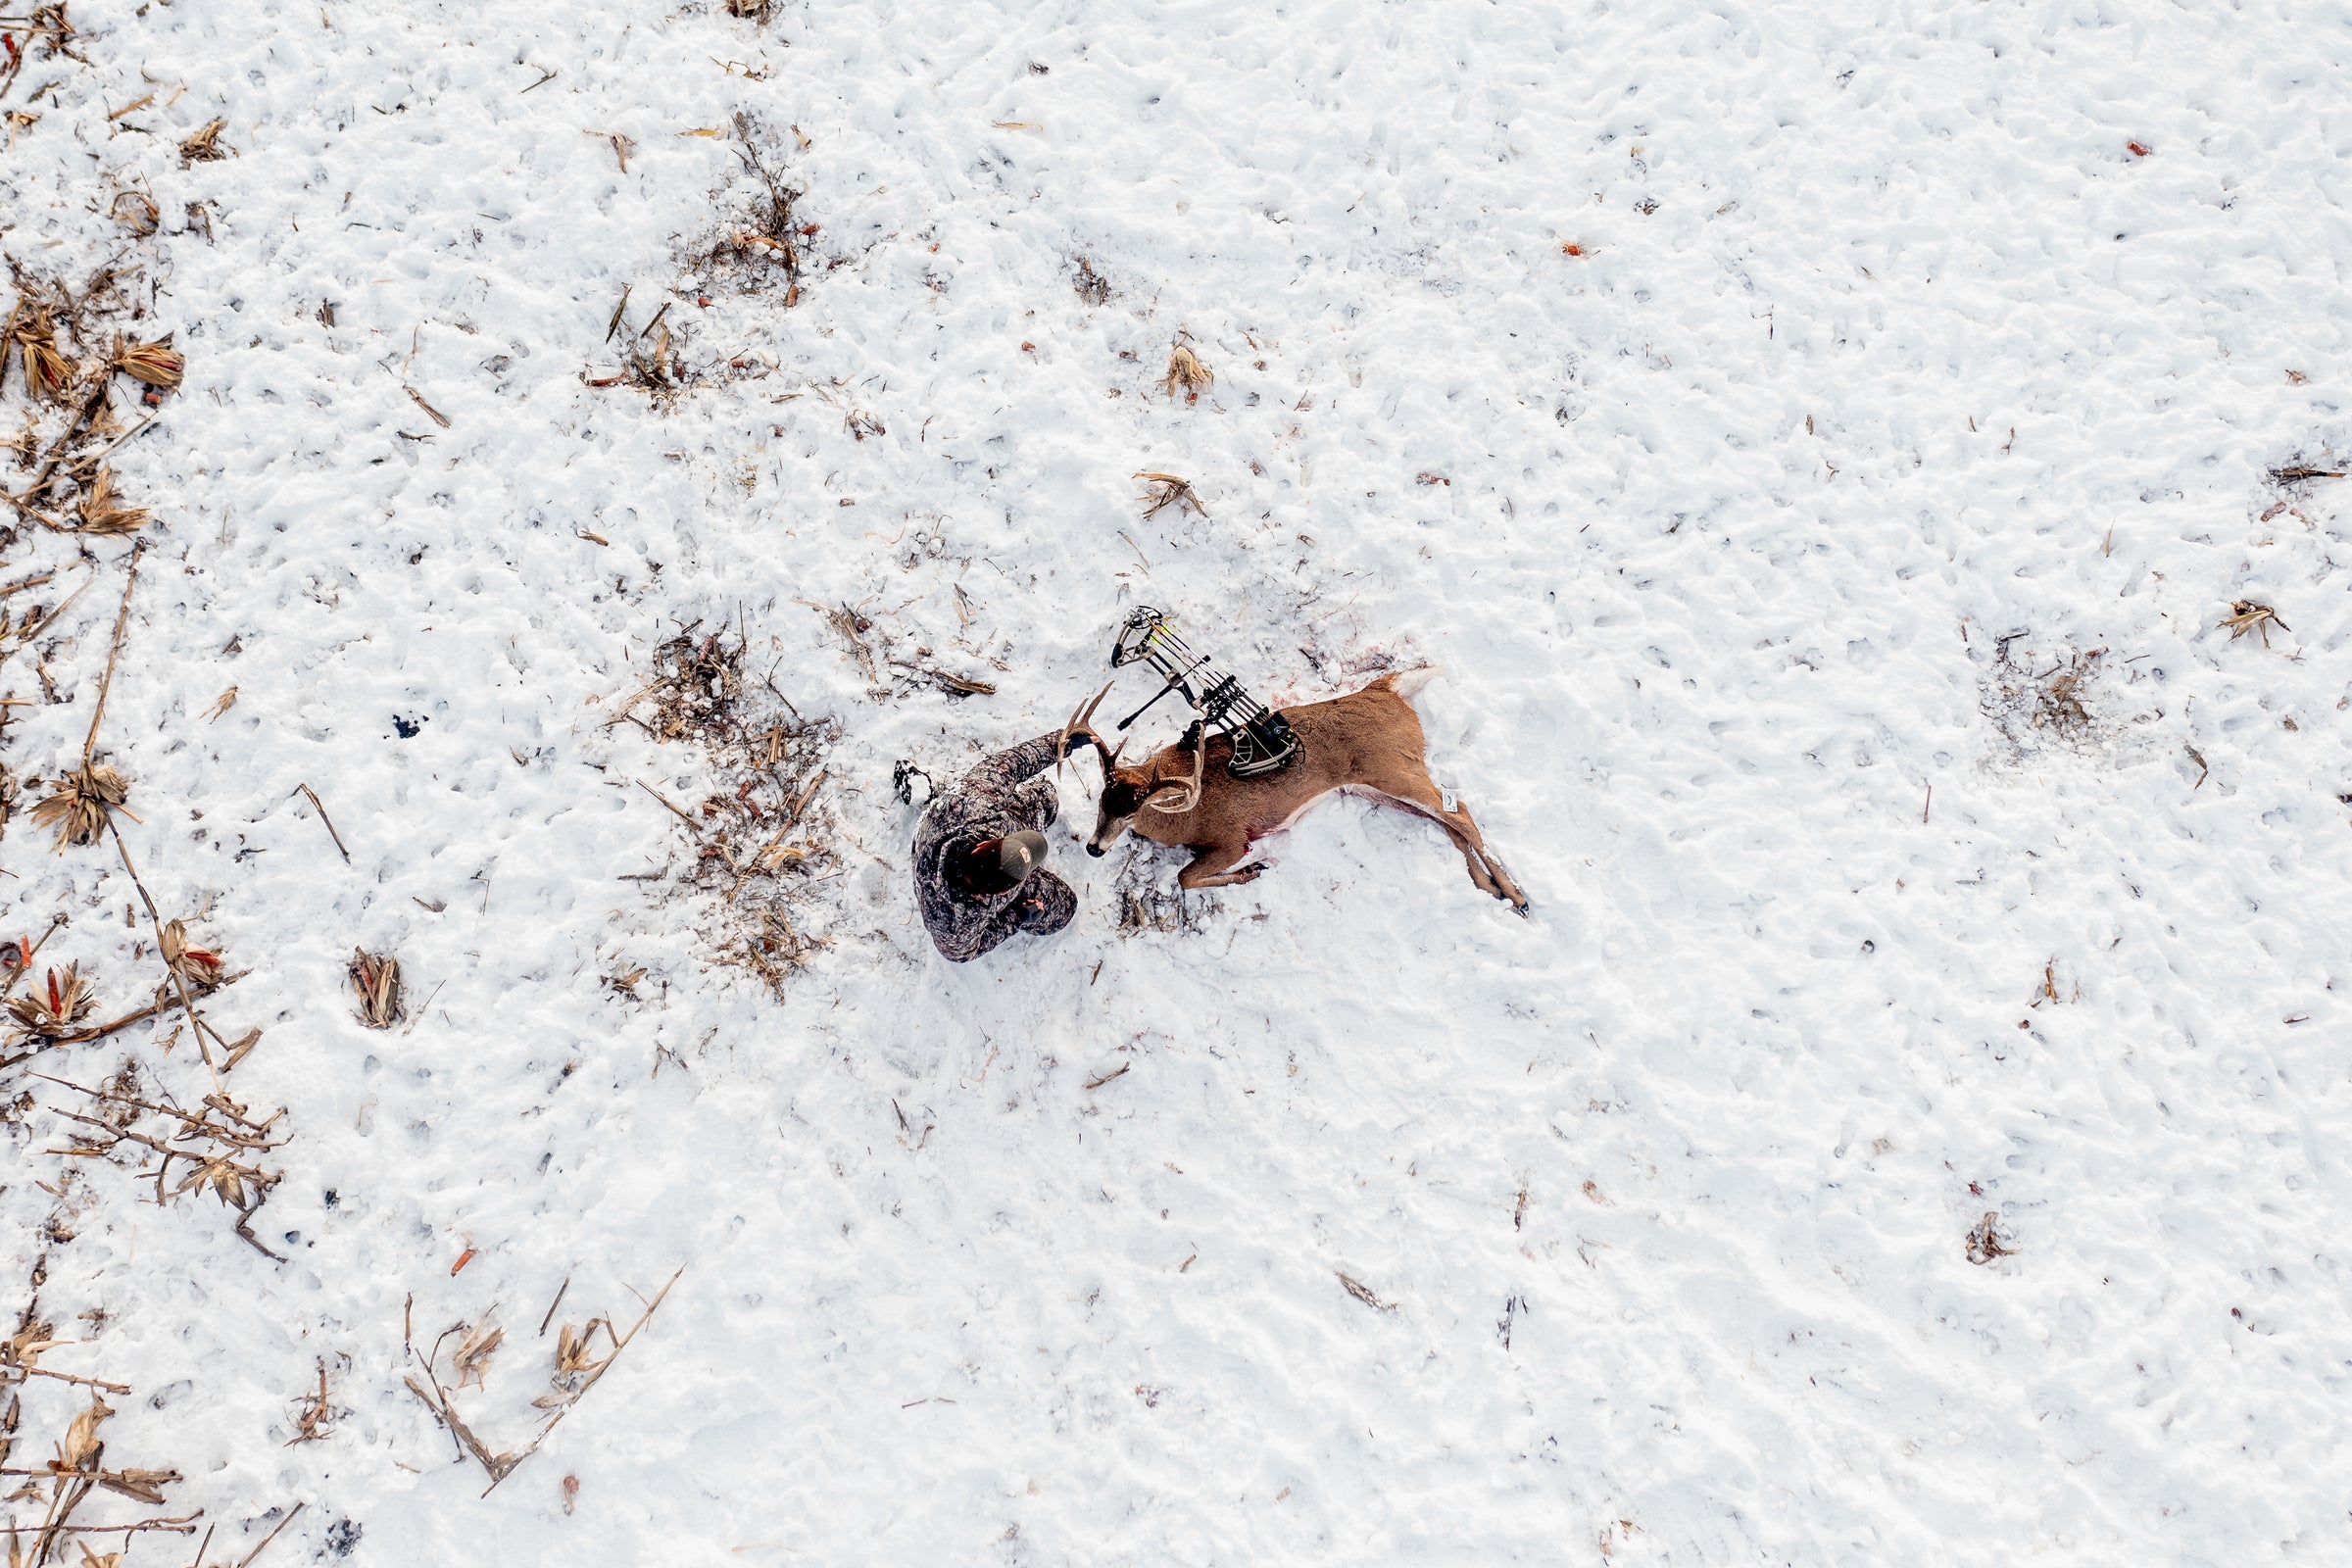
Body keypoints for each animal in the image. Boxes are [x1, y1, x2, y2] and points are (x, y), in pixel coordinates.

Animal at [1060, 672, 1527, 909]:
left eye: (1133, 810)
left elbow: (1184, 876)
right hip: (1374, 787)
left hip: (1392, 768)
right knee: (1447, 820)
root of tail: (1386, 690)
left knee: (1460, 810)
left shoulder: (1231, 837)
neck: (1179, 816)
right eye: (1102, 800)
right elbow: (1185, 876)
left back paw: (1517, 894)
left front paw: (1252, 870)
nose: (1095, 848)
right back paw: (1491, 889)